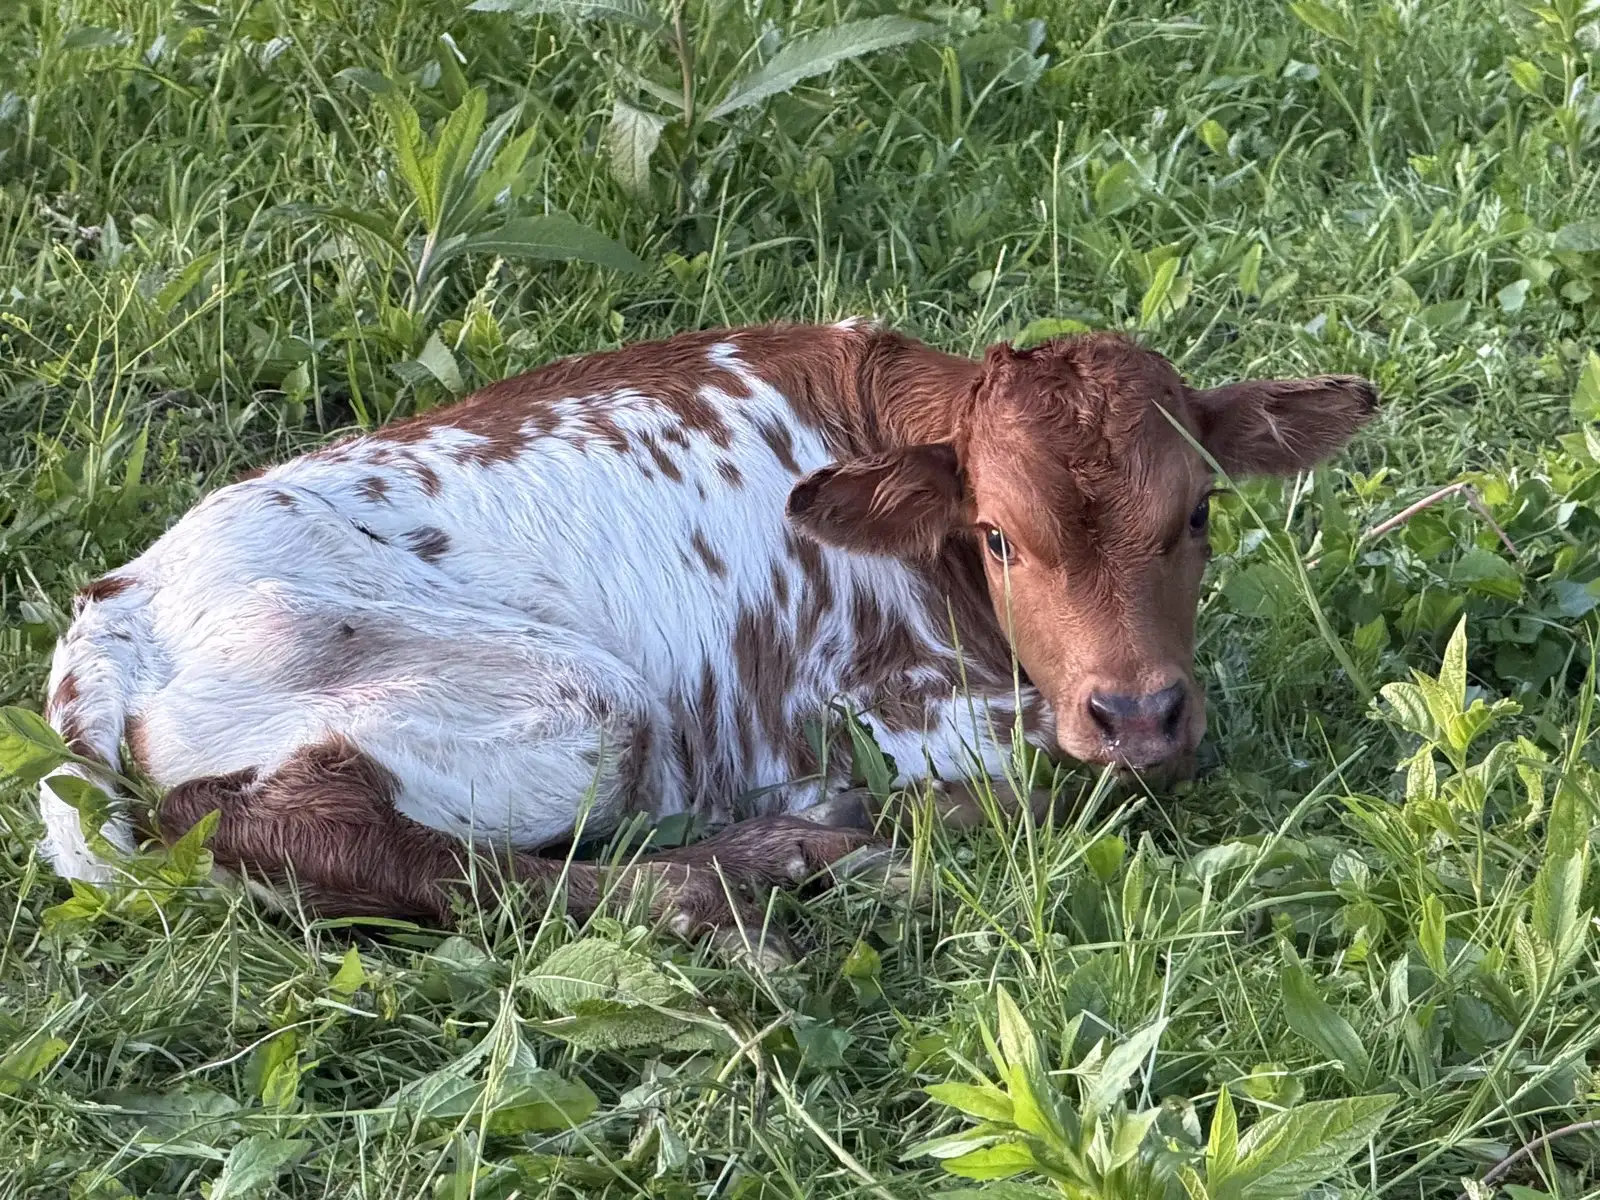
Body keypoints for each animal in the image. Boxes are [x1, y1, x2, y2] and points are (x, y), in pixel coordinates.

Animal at [37, 320, 1376, 940]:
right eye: (999, 536)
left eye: (1197, 510)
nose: (1138, 710)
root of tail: (121, 606)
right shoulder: (892, 701)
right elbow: (1049, 783)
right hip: (564, 699)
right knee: (328, 835)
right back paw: (762, 862)